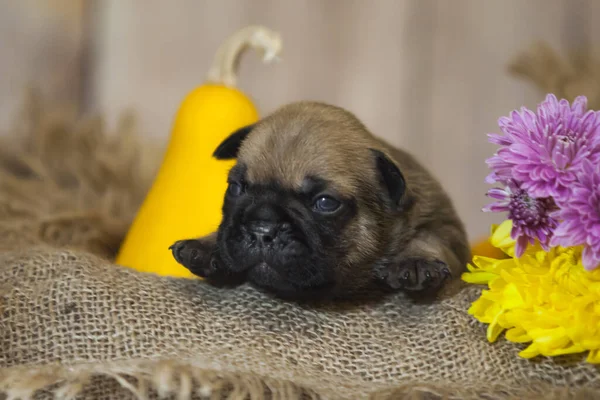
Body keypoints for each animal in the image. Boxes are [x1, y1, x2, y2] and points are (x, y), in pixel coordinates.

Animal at [169, 101, 468, 302]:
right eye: (235, 188)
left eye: (325, 203)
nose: (262, 229)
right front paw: (206, 245)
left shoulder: (445, 225)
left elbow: (430, 237)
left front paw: (415, 260)